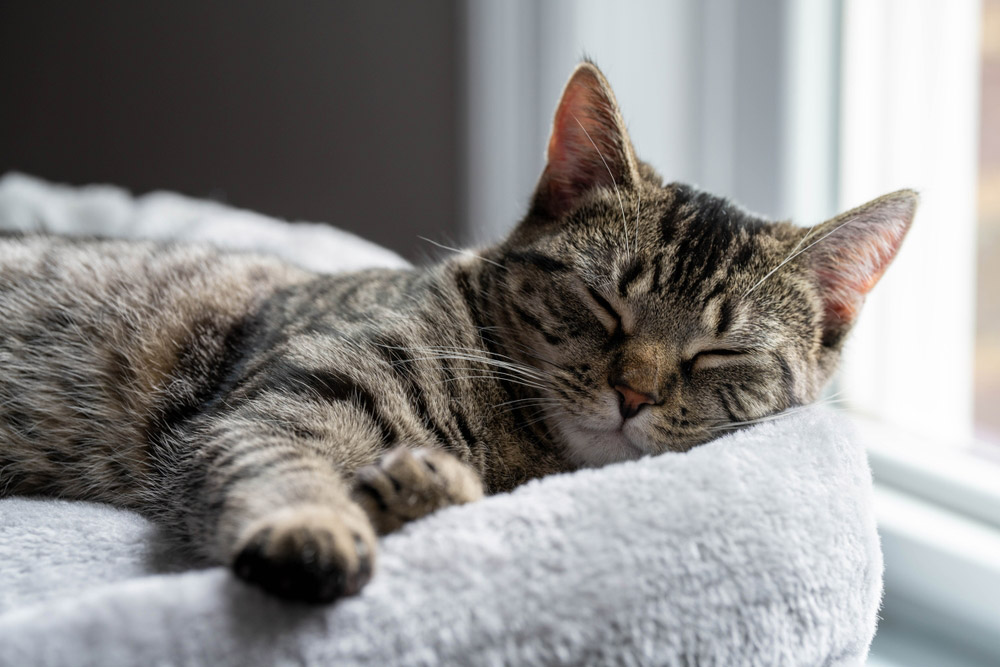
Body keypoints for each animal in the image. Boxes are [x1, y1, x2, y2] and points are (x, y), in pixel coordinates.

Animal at [0, 64, 916, 604]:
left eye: (719, 353)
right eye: (601, 303)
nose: (633, 393)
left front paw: (416, 490)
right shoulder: (275, 402)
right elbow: (279, 463)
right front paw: (316, 526)